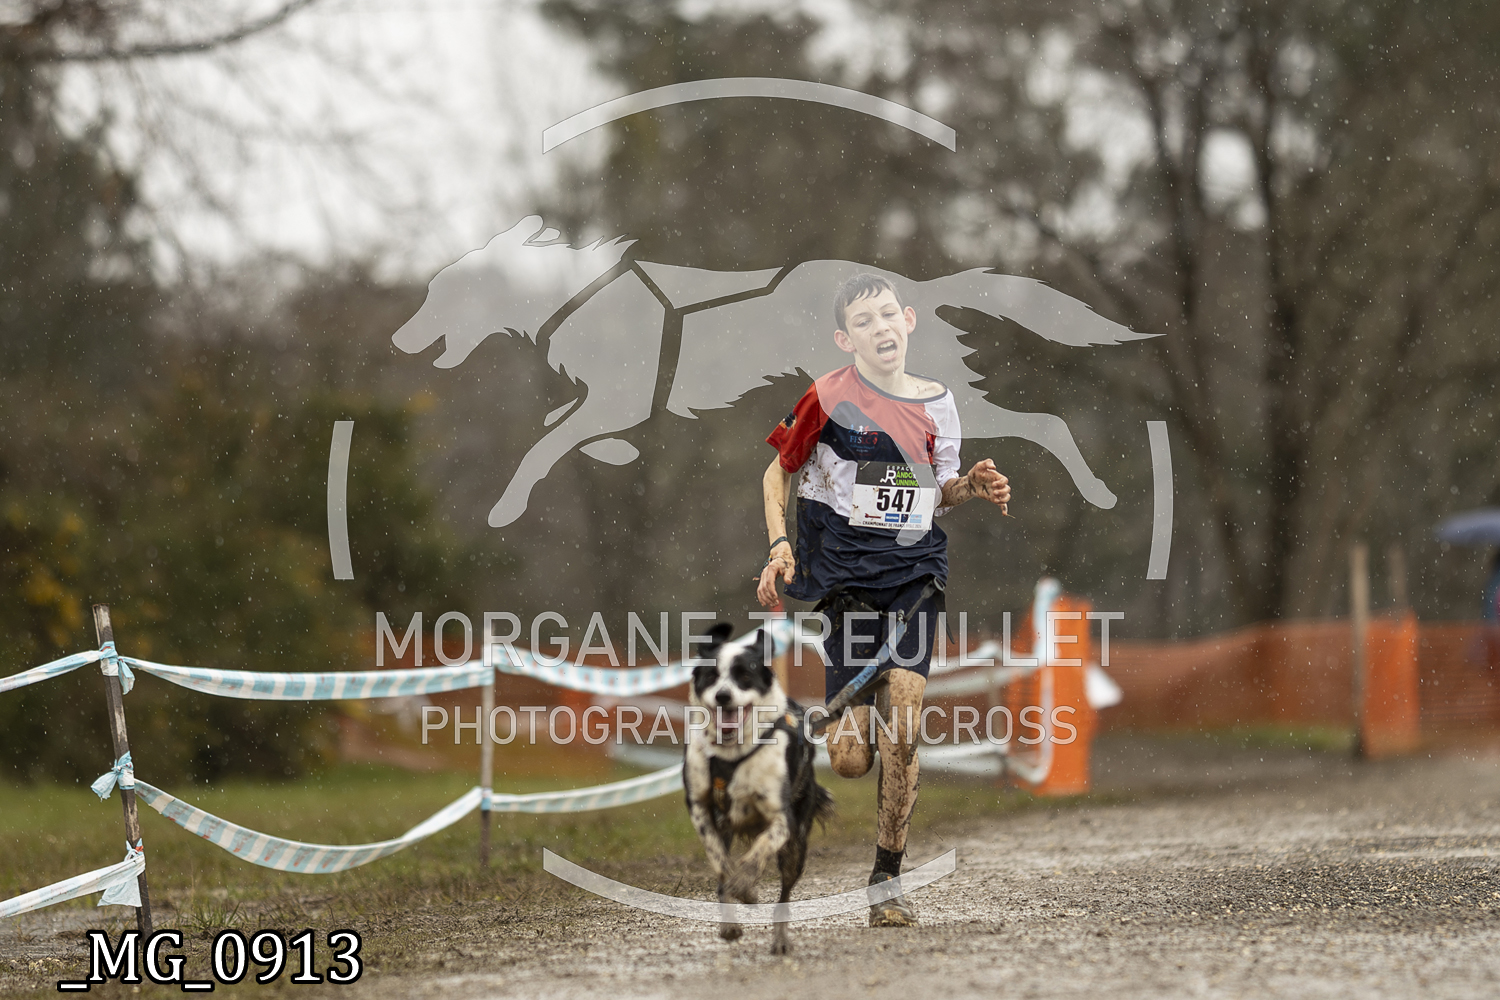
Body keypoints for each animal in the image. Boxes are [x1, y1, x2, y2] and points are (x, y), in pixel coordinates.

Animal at [684, 623, 834, 954]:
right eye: (711, 676)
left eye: (744, 675)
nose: (723, 696)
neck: (732, 753)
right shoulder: (700, 807)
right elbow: (719, 860)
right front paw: (740, 891)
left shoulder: (781, 817)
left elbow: (761, 850)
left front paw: (745, 884)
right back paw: (729, 923)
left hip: (796, 846)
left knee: (784, 894)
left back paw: (780, 939)